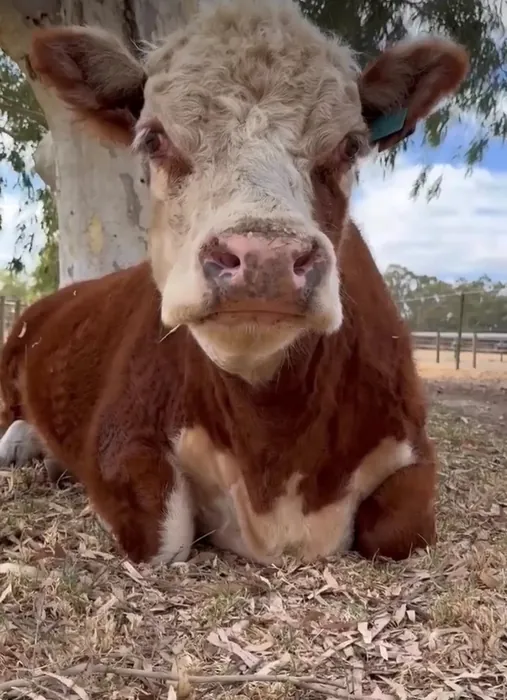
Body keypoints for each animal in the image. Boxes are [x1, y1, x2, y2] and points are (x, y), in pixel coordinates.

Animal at [0, 0, 468, 566]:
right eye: (154, 138)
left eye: (350, 146)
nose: (266, 259)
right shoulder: (122, 436)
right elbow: (166, 535)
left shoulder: (411, 444)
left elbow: (402, 531)